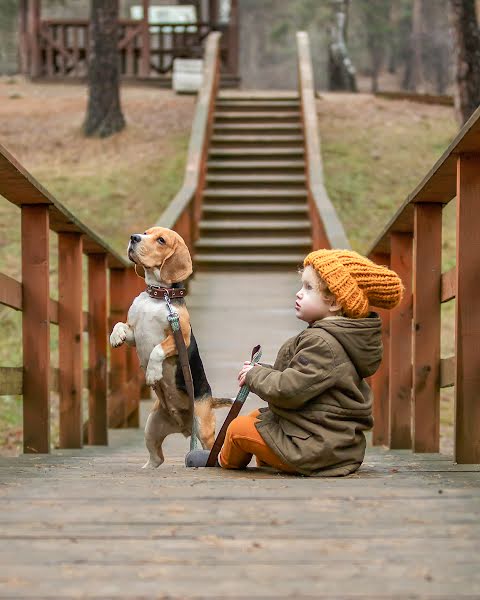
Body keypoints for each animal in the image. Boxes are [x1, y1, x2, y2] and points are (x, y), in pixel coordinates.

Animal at [109, 226, 232, 468]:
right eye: (146, 233)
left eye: (161, 240)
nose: (134, 238)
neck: (158, 296)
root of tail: (182, 426)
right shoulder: (135, 333)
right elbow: (120, 325)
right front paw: (115, 336)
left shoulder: (180, 338)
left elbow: (157, 350)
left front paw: (152, 373)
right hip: (151, 429)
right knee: (157, 458)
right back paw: (147, 468)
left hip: (203, 427)